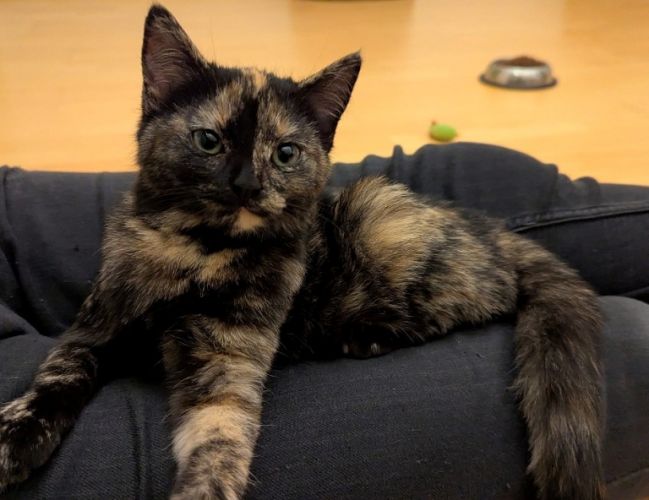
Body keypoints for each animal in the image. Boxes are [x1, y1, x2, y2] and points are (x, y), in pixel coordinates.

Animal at [0, 4, 603, 499]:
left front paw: (204, 489)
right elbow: (56, 378)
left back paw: (366, 335)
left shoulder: (228, 359)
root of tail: (497, 230)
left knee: (473, 305)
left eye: (285, 153)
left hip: (378, 214)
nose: (246, 183)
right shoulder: (94, 329)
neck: (201, 251)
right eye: (209, 140)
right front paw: (16, 436)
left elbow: (220, 436)